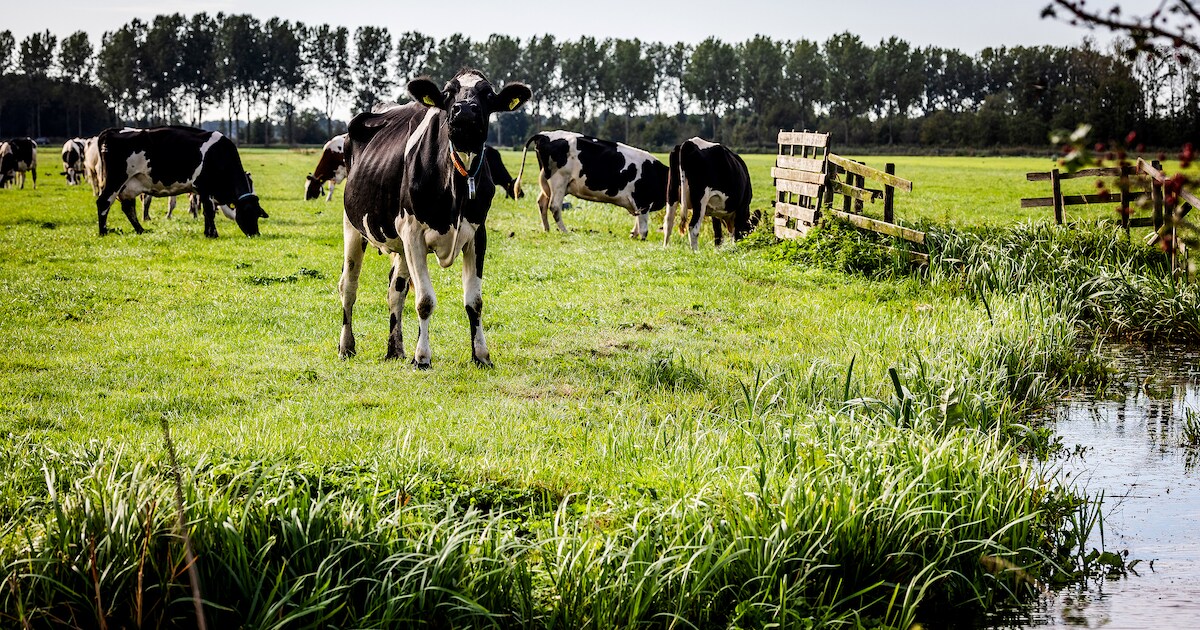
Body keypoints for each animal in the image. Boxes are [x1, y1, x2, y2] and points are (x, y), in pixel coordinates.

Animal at [94, 126, 267, 238]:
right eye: (248, 212)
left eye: (258, 214)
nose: (255, 234)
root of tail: (111, 131)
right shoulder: (204, 188)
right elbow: (209, 211)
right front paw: (212, 234)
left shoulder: (204, 191)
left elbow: (207, 212)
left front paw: (209, 232)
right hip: (116, 179)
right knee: (104, 202)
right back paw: (103, 232)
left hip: (129, 185)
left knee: (128, 208)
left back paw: (140, 230)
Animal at [338, 69, 531, 368]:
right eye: (449, 92)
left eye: (487, 94)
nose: (465, 109)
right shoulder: (413, 233)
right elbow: (425, 300)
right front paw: (422, 358)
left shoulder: (477, 234)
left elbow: (474, 301)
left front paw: (481, 355)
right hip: (353, 226)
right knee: (349, 285)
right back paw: (347, 346)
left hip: (399, 246)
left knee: (396, 290)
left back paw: (395, 349)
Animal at [515, 131, 668, 239]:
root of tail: (545, 134)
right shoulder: (643, 202)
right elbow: (643, 226)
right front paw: (641, 237)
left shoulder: (638, 203)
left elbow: (636, 220)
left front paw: (633, 235)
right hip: (559, 181)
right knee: (554, 206)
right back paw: (565, 231)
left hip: (548, 183)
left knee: (542, 202)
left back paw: (547, 229)